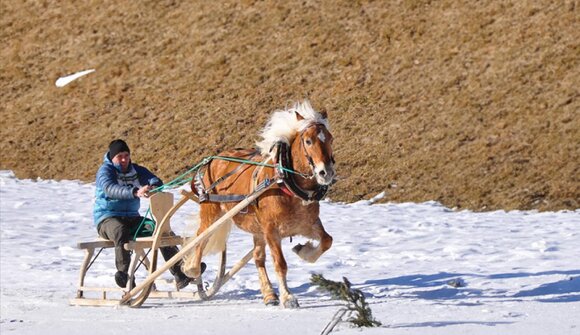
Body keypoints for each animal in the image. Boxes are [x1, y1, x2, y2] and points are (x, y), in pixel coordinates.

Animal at [181, 101, 336, 308]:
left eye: (330, 139)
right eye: (309, 141)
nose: (325, 172)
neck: (284, 183)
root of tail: (213, 159)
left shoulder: (307, 224)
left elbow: (327, 240)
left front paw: (304, 252)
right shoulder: (271, 230)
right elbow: (280, 263)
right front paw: (288, 297)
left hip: (256, 230)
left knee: (258, 258)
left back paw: (269, 294)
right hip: (213, 213)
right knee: (201, 237)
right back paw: (192, 268)